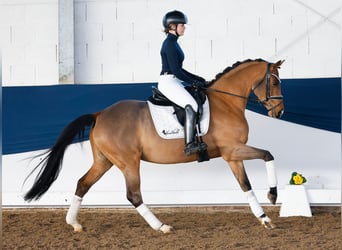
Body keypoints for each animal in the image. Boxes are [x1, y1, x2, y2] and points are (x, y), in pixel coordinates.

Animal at [24, 58, 284, 232]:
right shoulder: (233, 150)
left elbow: (245, 185)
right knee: (133, 195)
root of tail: (100, 114)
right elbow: (269, 155)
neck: (226, 102)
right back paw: (161, 226)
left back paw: (74, 223)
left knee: (83, 183)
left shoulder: (232, 156)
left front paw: (264, 218)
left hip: (104, 161)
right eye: (274, 82)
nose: (280, 112)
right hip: (128, 162)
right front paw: (272, 195)